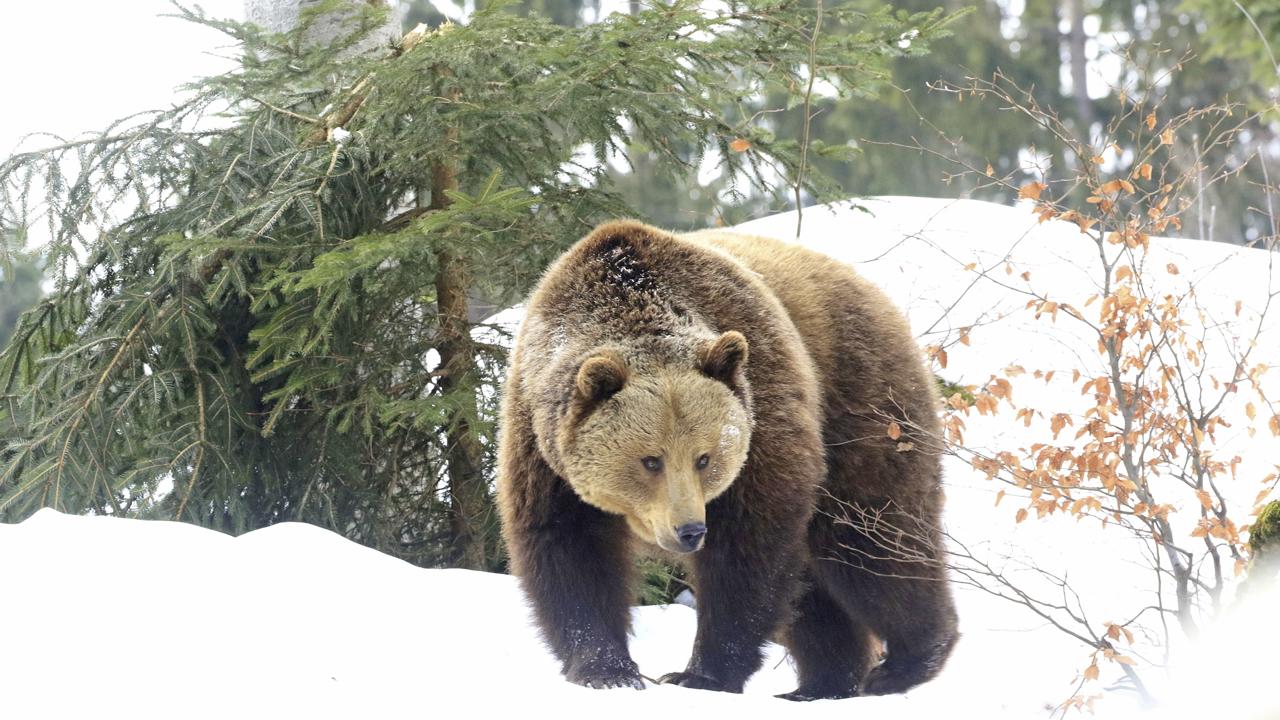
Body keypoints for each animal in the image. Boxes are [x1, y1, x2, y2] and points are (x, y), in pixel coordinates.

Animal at [494, 217, 957, 696]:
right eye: (650, 460)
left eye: (704, 457)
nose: (689, 530)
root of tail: (871, 289)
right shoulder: (542, 443)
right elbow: (569, 547)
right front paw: (607, 670)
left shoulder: (761, 408)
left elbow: (747, 548)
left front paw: (699, 673)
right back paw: (820, 685)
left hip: (860, 405)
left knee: (870, 537)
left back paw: (907, 660)